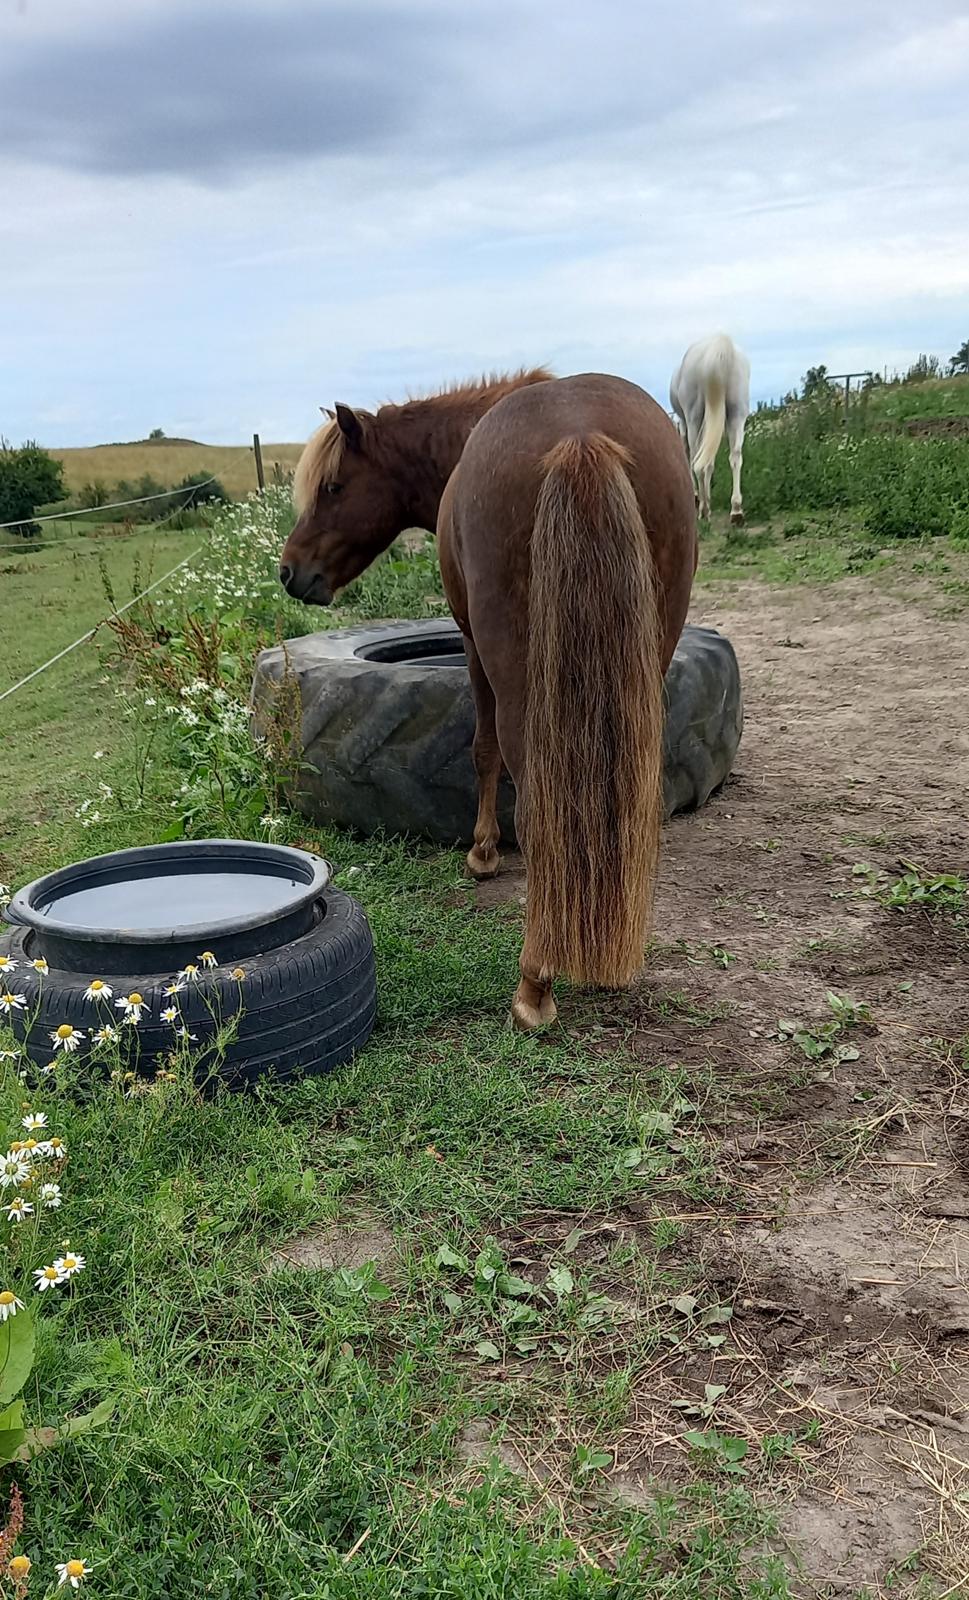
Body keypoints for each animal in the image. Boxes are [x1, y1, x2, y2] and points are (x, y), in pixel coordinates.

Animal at [281, 369, 697, 1030]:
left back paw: (535, 985)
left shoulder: (472, 643)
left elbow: (483, 751)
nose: (289, 571)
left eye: (334, 486)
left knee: (539, 813)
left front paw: (481, 853)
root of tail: (581, 436)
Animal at [674, 336, 751, 524]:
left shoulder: (686, 424)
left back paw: (704, 509)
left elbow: (692, 459)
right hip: (737, 413)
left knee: (697, 462)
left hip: (694, 417)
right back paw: (736, 511)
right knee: (735, 457)